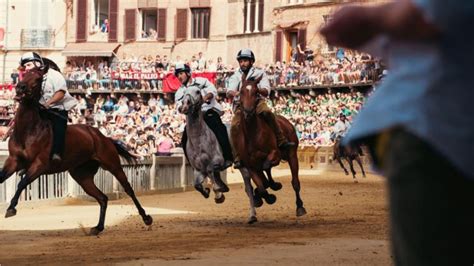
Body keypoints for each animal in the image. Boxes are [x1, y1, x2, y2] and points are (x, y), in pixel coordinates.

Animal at [0, 68, 152, 235]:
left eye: (38, 78)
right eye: (25, 72)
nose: (20, 88)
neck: (28, 131)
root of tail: (102, 136)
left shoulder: (39, 165)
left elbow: (22, 183)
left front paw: (11, 208)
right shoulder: (13, 160)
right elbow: (3, 178)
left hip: (113, 165)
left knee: (128, 189)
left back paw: (146, 218)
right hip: (82, 176)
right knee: (102, 198)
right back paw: (98, 227)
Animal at [233, 74, 308, 222]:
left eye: (256, 92)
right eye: (241, 92)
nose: (248, 111)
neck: (253, 134)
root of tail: (286, 122)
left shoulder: (275, 154)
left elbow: (266, 166)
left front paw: (269, 191)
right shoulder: (250, 165)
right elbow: (261, 185)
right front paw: (267, 196)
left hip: (292, 154)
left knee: (295, 182)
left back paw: (299, 206)